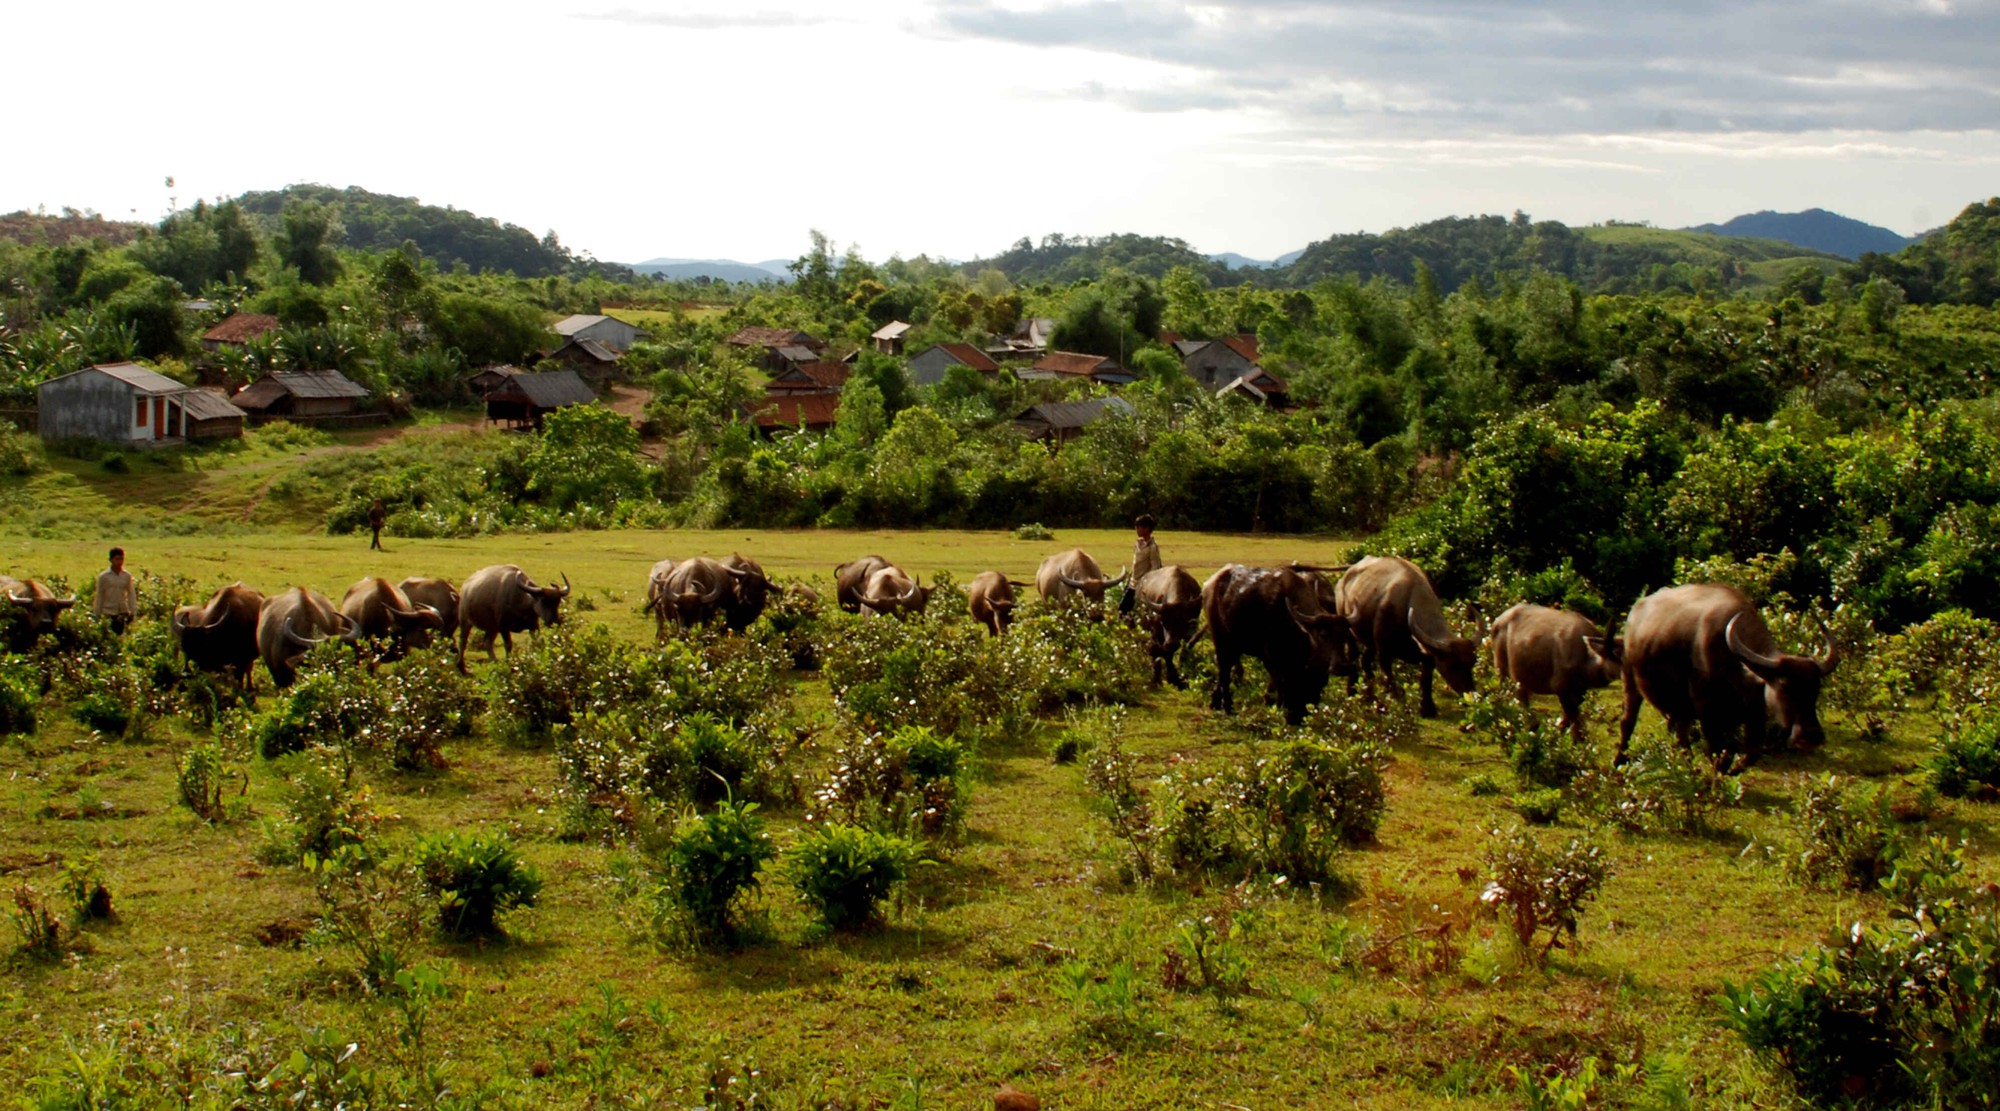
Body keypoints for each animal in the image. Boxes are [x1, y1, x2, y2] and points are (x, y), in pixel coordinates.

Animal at [1200, 563, 1360, 727]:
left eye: (1344, 636)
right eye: (1323, 635)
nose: (1342, 666)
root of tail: (1210, 584)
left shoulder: (1314, 666)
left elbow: (1313, 686)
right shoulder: (1271, 656)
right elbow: (1282, 683)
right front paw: (1286, 713)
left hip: (1235, 644)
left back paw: (1215, 702)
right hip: (1221, 639)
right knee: (1224, 670)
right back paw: (1228, 707)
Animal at [1336, 555, 1480, 719]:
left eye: (1472, 662)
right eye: (1453, 666)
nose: (1470, 695)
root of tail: (1345, 577)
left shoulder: (1428, 656)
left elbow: (1426, 680)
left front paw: (1427, 708)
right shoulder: (1384, 652)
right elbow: (1389, 678)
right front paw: (1394, 706)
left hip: (1369, 641)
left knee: (1365, 660)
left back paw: (1369, 695)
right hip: (1348, 628)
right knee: (1353, 655)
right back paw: (1352, 690)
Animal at [1496, 599, 1616, 739]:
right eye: (1614, 656)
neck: (1585, 656)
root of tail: (1497, 621)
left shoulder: (1581, 690)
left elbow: (1571, 716)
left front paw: (1558, 730)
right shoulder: (1560, 687)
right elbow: (1573, 716)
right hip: (1502, 671)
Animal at [1616, 583, 1832, 763]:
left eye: (1817, 689)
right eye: (1785, 687)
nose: (1812, 735)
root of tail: (1635, 611)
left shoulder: (1753, 715)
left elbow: (1751, 754)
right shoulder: (1708, 713)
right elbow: (1718, 755)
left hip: (1680, 705)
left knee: (1681, 732)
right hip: (1630, 679)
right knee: (1628, 721)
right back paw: (1620, 760)